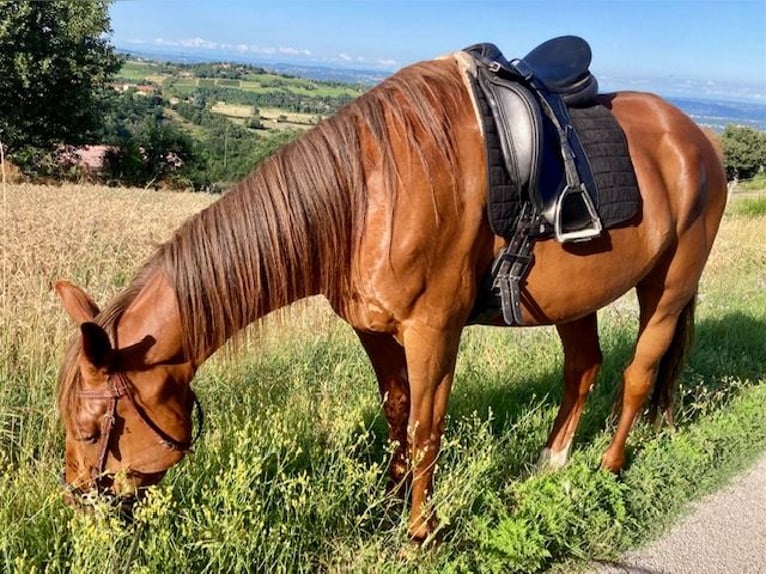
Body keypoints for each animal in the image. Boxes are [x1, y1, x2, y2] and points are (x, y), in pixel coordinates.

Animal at [57, 51, 728, 544]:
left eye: (93, 429)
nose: (82, 510)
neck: (365, 196)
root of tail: (697, 138)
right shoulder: (376, 332)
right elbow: (397, 415)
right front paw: (388, 503)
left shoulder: (433, 332)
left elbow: (427, 427)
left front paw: (418, 533)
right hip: (577, 301)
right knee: (583, 368)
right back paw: (552, 461)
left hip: (668, 288)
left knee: (639, 374)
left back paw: (609, 466)